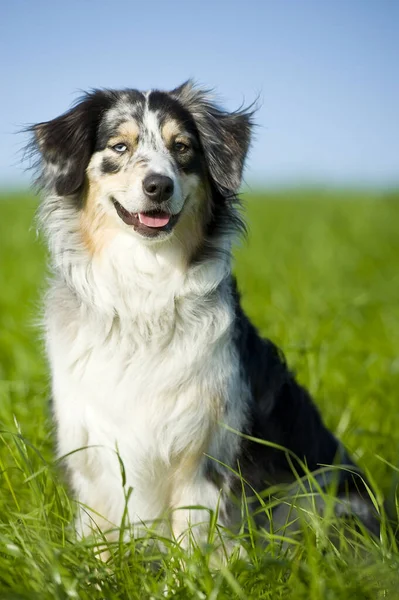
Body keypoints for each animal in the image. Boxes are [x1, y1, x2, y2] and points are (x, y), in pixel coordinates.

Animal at [30, 82, 378, 556]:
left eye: (182, 148)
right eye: (120, 147)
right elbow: (99, 536)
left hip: (316, 498)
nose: (158, 185)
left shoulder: (204, 450)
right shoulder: (89, 448)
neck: (144, 291)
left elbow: (194, 539)